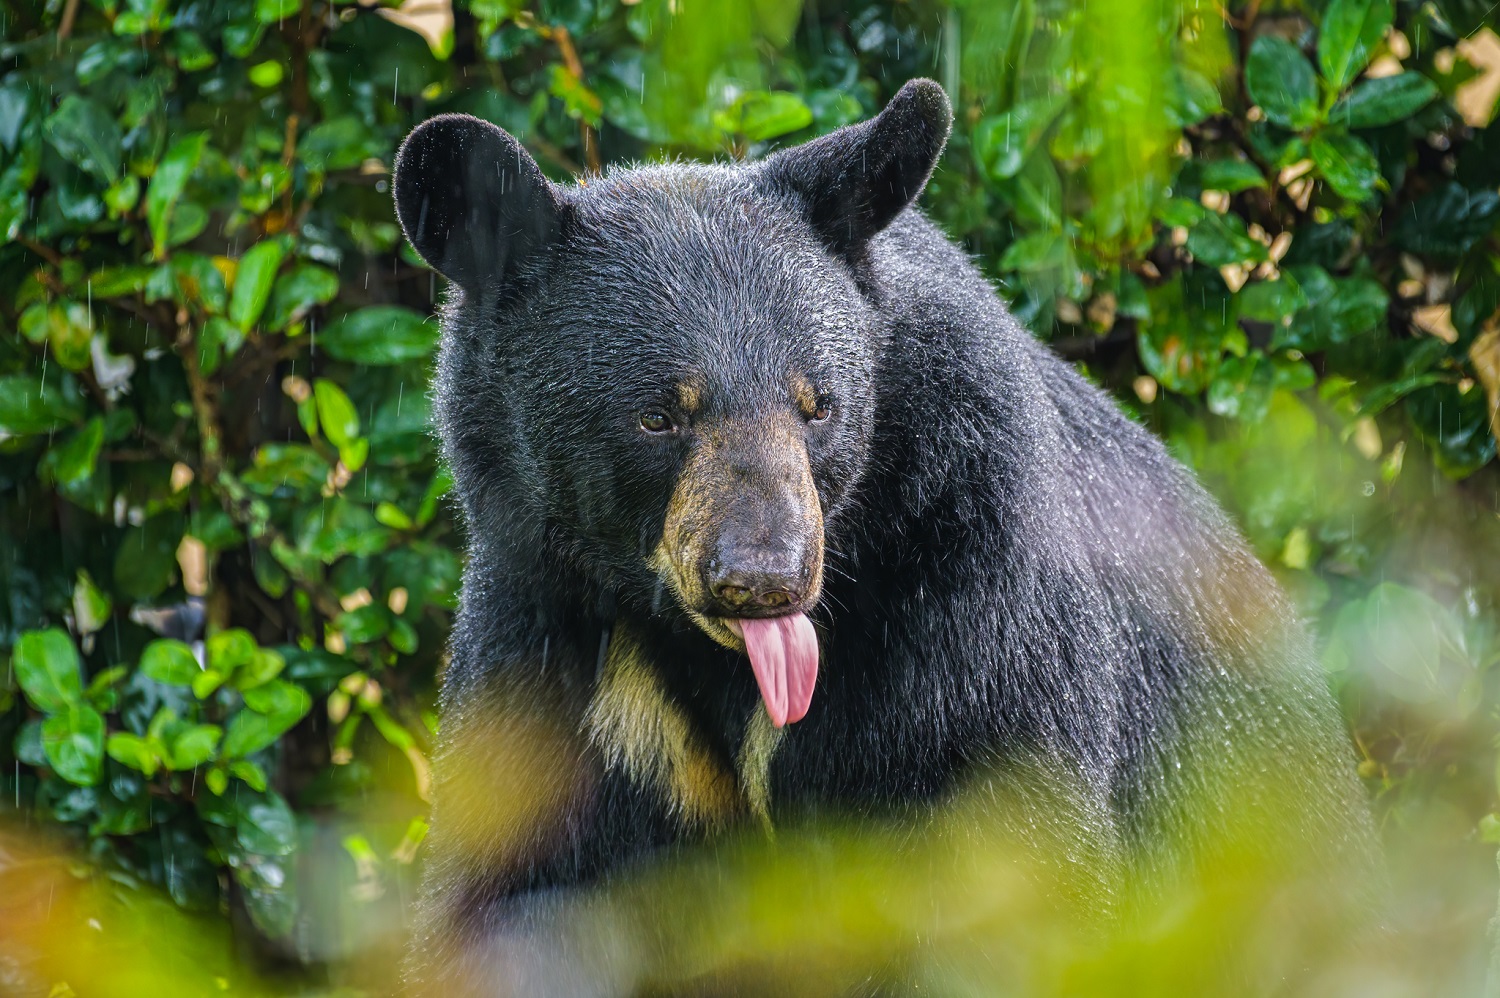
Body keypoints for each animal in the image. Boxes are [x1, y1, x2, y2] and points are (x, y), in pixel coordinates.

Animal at [390, 79, 1376, 995]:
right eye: (659, 417)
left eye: (818, 404)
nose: (765, 577)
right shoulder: (547, 632)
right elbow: (521, 890)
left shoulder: (972, 587)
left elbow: (1007, 859)